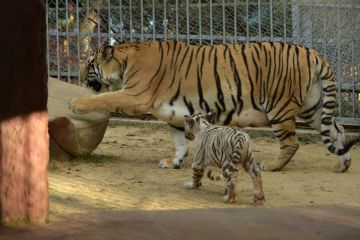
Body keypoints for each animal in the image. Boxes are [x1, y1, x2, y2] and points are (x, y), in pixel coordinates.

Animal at [69, 39, 358, 172]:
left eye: (89, 65)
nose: (78, 77)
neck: (127, 59)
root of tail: (315, 53)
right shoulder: (173, 112)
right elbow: (179, 142)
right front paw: (173, 162)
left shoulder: (135, 96)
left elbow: (104, 98)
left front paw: (75, 103)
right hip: (313, 108)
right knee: (338, 130)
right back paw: (343, 163)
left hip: (280, 107)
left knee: (292, 143)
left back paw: (272, 165)